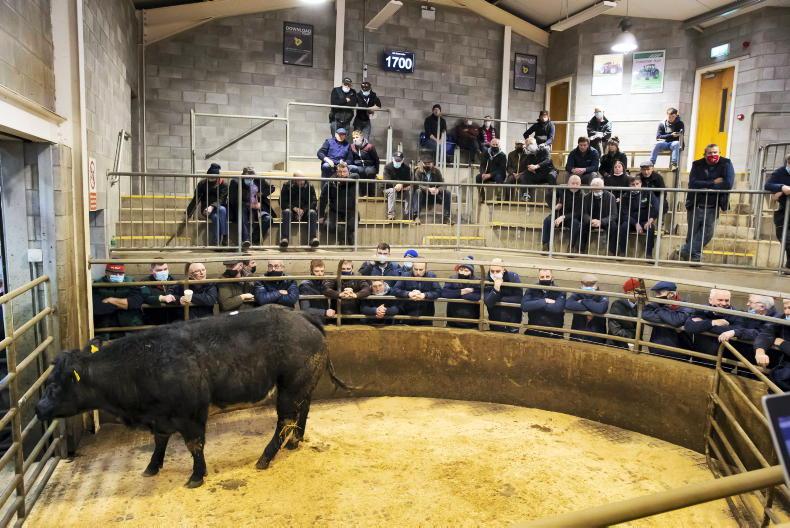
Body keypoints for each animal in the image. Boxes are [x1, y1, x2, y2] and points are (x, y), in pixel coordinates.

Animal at [35, 305, 351, 488]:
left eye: (54, 387)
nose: (39, 408)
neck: (145, 361)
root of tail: (302, 316)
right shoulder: (160, 417)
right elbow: (160, 441)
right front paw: (152, 467)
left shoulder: (191, 412)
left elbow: (194, 444)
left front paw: (196, 476)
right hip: (301, 386)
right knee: (302, 413)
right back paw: (295, 442)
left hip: (290, 388)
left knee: (285, 420)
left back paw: (265, 457)